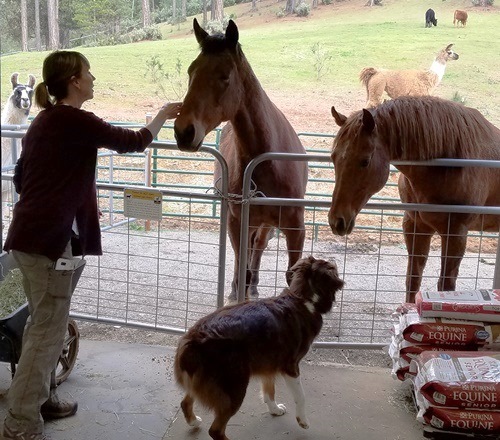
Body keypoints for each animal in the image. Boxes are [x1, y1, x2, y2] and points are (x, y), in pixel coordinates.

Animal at [176, 19, 308, 302]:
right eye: (191, 71)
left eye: (225, 75)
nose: (183, 131)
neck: (268, 163)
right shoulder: (239, 222)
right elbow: (241, 265)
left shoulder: (296, 229)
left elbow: (291, 274)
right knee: (243, 259)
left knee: (257, 248)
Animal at [328, 96, 500, 302]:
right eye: (333, 157)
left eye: (365, 161)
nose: (337, 221)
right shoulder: (416, 226)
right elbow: (413, 278)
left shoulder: (457, 234)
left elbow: (446, 286)